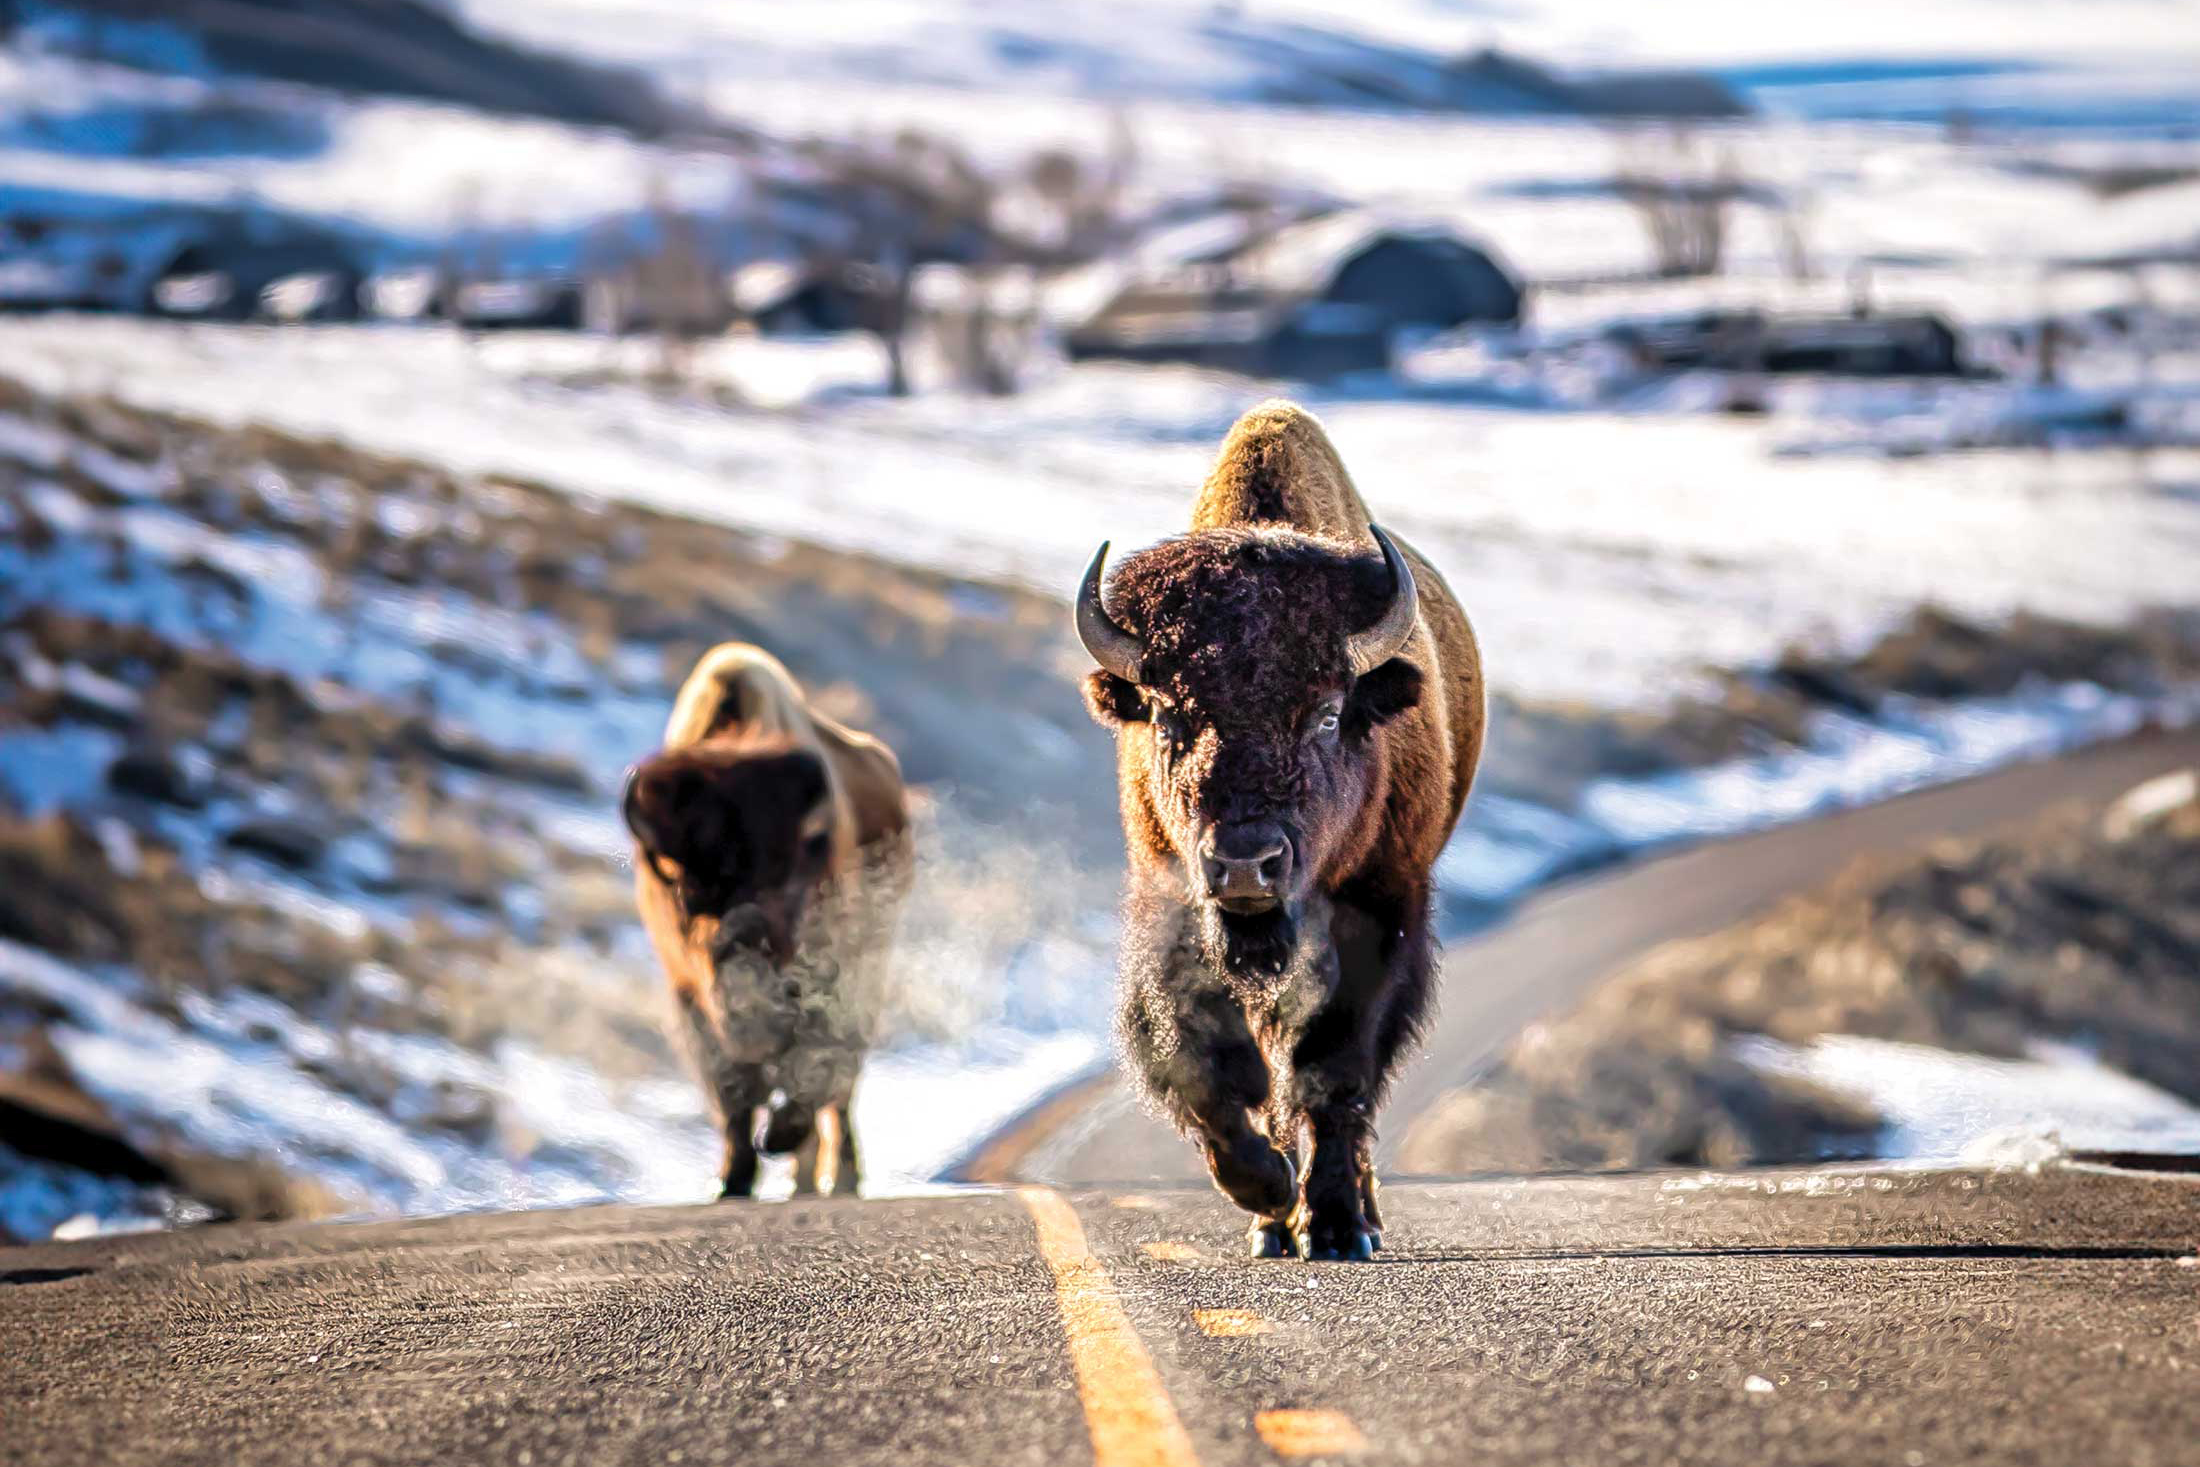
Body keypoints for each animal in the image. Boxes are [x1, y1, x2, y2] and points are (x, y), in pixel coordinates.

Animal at [625, 643, 911, 1197]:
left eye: (795, 863)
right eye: (685, 887)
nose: (742, 938)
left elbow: (815, 1068)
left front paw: (778, 1138)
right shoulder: (692, 999)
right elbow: (733, 1093)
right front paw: (732, 1180)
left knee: (840, 1090)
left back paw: (839, 1174)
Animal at [1076, 401, 1484, 1259]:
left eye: (1327, 713)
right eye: (1168, 716)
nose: (1244, 865)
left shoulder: (1382, 912)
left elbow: (1335, 1068)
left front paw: (1331, 1223)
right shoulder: (1172, 906)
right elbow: (1203, 1059)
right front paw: (1268, 1191)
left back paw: (1353, 1215)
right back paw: (1274, 1220)